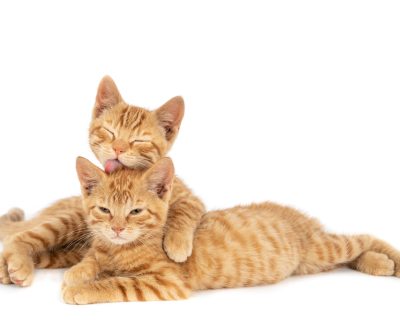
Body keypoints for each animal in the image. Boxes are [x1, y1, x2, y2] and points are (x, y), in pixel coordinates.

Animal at [0, 76, 205, 286]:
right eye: (110, 132)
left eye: (139, 140)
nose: (118, 148)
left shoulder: (190, 198)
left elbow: (184, 211)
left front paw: (177, 243)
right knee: (18, 236)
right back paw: (17, 264)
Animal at [61, 157, 400, 304]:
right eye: (105, 210)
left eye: (135, 212)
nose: (118, 228)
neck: (118, 248)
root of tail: (300, 217)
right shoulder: (102, 250)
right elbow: (91, 261)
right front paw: (75, 274)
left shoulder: (167, 281)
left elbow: (118, 282)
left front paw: (82, 289)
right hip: (313, 262)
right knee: (350, 256)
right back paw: (378, 263)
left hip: (322, 247)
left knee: (362, 238)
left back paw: (390, 260)